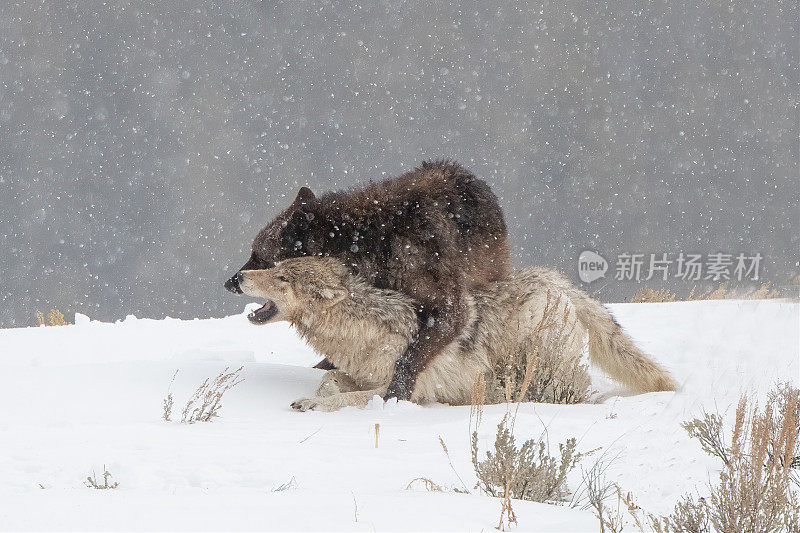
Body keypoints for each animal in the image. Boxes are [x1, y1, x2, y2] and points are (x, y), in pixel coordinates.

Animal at [222, 161, 510, 400]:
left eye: (259, 257)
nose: (230, 283)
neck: (366, 244)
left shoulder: (450, 309)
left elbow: (407, 360)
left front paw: (393, 398)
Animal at [236, 256, 676, 410]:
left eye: (281, 277)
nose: (239, 276)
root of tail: (557, 280)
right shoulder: (361, 374)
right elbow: (329, 381)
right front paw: (314, 395)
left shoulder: (400, 389)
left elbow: (348, 399)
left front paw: (314, 405)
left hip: (546, 373)